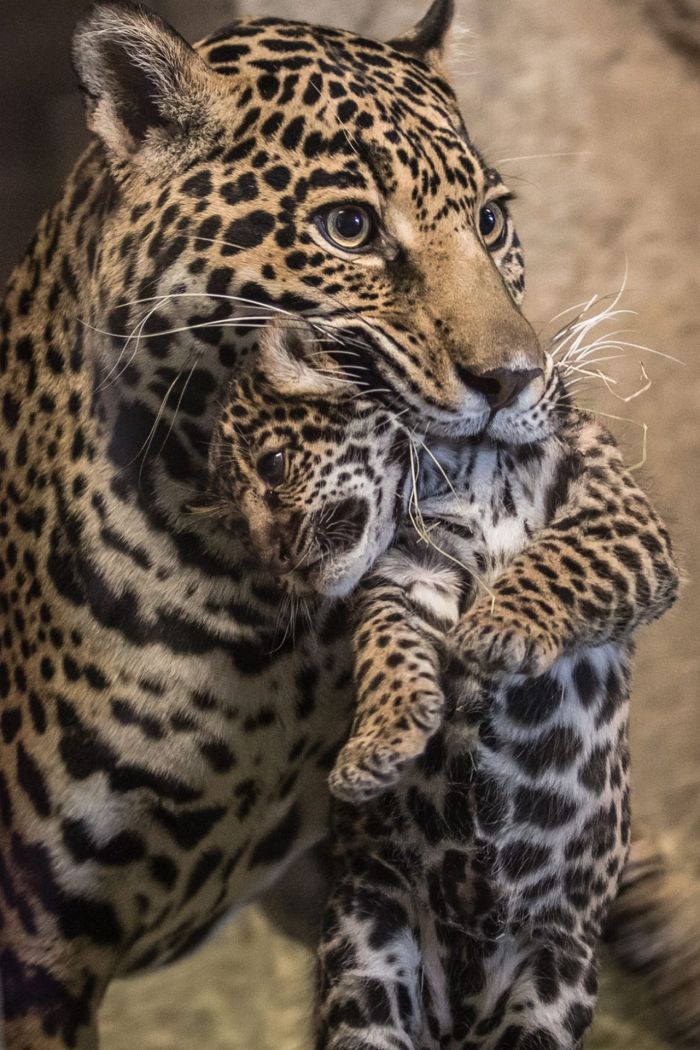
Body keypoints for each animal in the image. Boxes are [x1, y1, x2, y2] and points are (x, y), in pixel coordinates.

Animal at [207, 318, 680, 1049]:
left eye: (275, 466)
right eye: (237, 523)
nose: (277, 557)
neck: (460, 459)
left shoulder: (619, 518)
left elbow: (562, 560)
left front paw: (495, 629)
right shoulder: (411, 571)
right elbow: (386, 647)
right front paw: (378, 744)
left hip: (556, 980)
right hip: (367, 942)